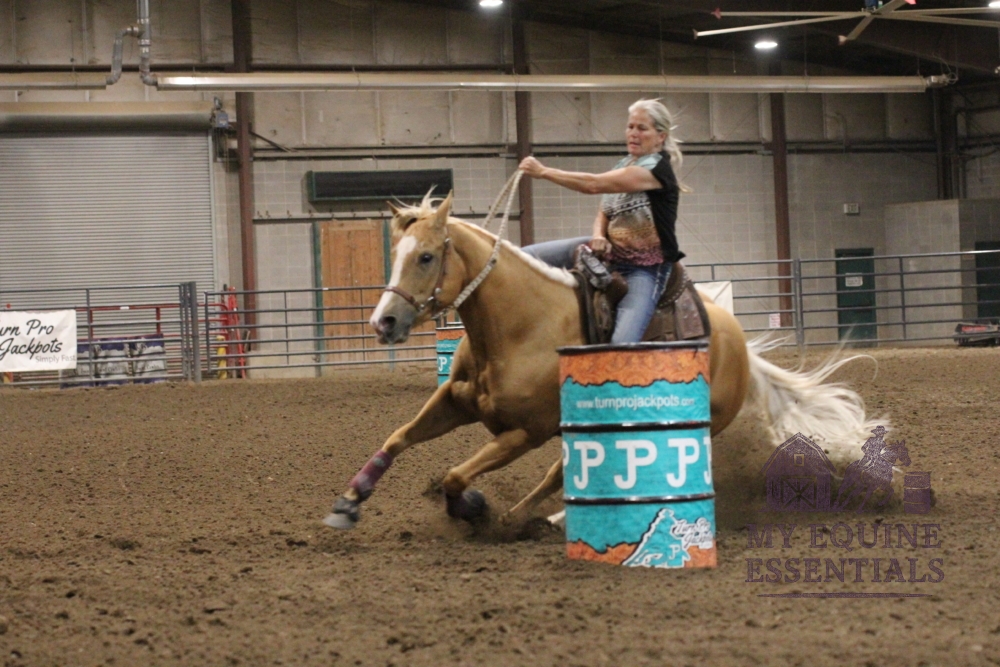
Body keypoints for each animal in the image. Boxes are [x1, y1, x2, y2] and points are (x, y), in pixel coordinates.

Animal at [322, 191, 884, 530]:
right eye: (398, 253)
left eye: (426, 257)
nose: (383, 322)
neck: (517, 327)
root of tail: (737, 343)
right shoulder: (454, 400)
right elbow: (397, 438)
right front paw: (349, 501)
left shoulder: (524, 432)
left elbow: (459, 476)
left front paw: (473, 507)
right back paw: (537, 518)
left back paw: (538, 520)